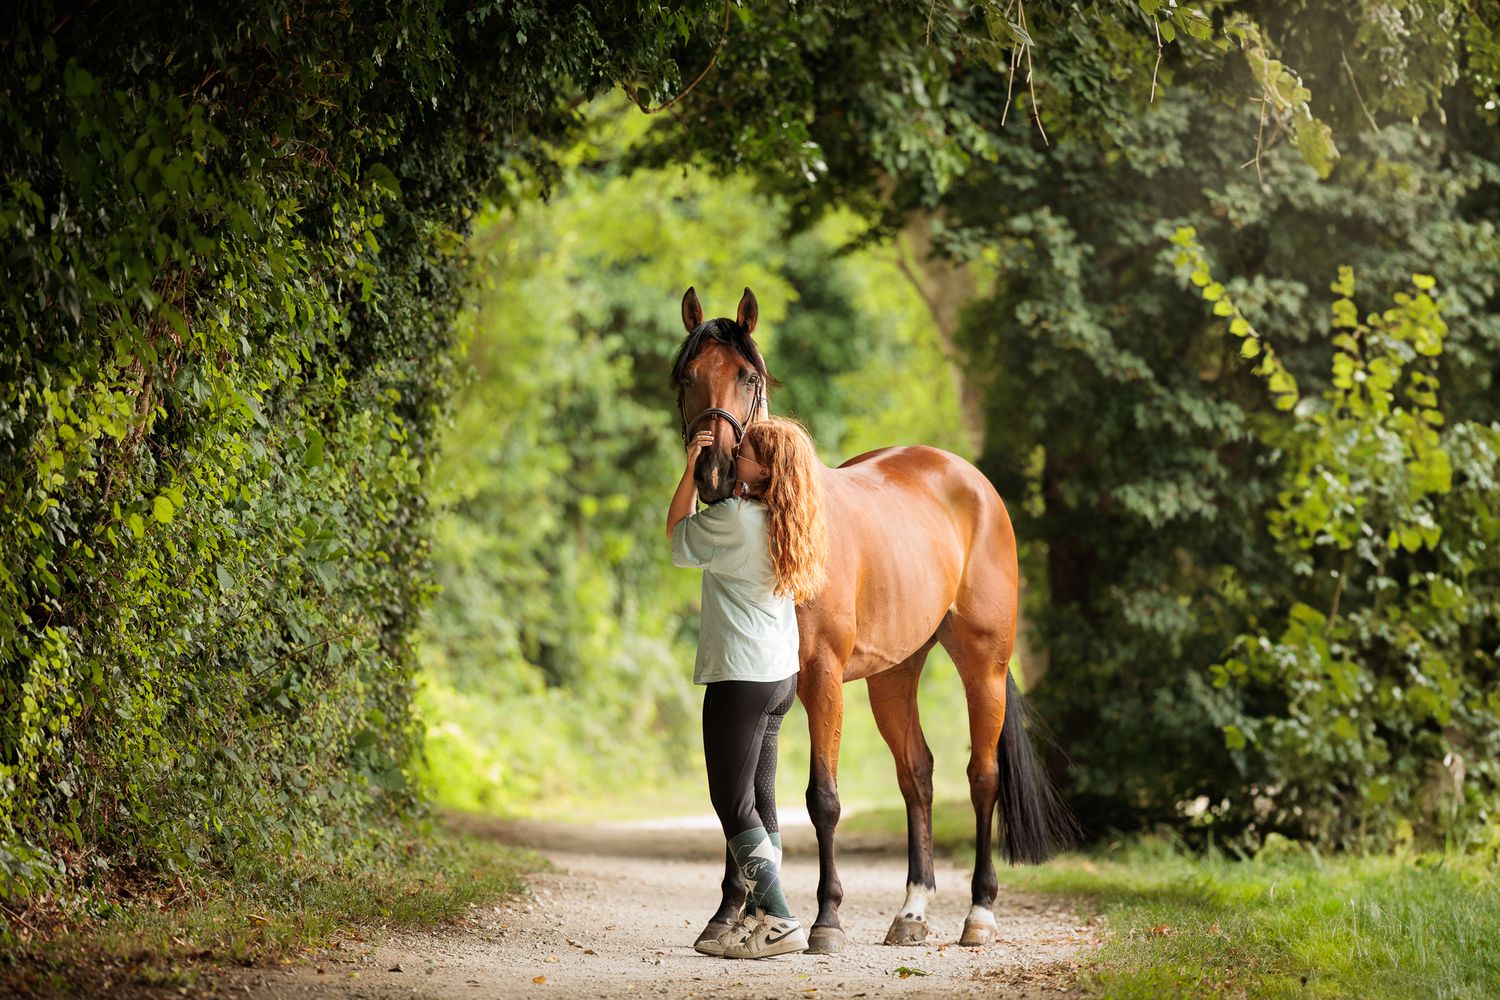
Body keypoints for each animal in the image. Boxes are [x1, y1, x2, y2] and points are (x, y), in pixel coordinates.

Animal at [673, 286, 1075, 954]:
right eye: (687, 376)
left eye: (748, 377)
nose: (713, 469)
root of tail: (969, 480)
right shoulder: (763, 687)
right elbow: (753, 802)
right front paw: (731, 917)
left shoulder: (821, 679)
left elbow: (822, 799)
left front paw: (826, 919)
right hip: (895, 675)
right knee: (918, 774)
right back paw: (911, 912)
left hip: (984, 665)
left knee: (982, 776)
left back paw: (979, 913)